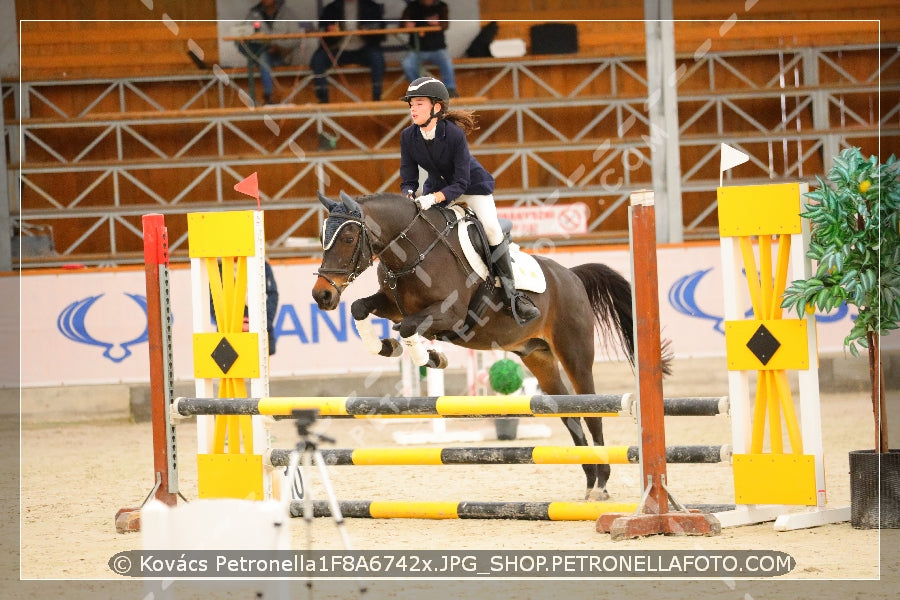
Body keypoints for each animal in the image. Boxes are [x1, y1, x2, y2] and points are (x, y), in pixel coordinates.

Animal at [312, 192, 664, 502]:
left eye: (347, 238)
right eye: (322, 237)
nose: (322, 295)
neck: (413, 253)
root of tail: (572, 276)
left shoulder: (450, 313)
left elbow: (410, 327)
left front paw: (431, 357)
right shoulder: (393, 305)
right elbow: (360, 308)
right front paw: (389, 347)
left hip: (574, 353)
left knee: (591, 411)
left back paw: (602, 484)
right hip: (539, 358)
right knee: (570, 415)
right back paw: (590, 481)